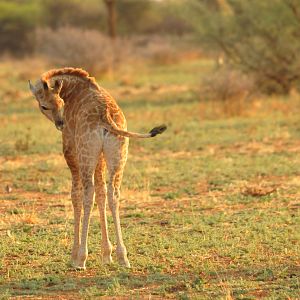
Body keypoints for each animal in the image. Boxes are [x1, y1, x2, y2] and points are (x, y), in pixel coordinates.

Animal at [28, 68, 166, 270]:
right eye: (45, 106)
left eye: (59, 103)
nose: (60, 124)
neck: (72, 90)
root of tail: (105, 116)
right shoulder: (100, 158)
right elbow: (102, 194)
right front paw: (107, 254)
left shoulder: (70, 151)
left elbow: (76, 196)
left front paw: (74, 254)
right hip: (118, 155)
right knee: (113, 194)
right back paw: (123, 257)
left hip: (85, 155)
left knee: (88, 194)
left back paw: (81, 259)